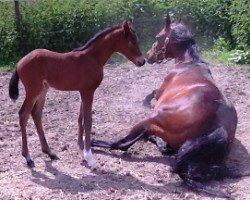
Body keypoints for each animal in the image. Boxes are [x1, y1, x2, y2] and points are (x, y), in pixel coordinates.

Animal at [8, 20, 146, 169]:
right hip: (33, 90)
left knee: (36, 114)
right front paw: (90, 158)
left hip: (43, 90)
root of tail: (19, 62)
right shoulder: (88, 91)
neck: (92, 58)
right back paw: (28, 158)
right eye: (133, 41)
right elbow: (88, 121)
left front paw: (81, 150)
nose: (142, 61)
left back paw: (50, 152)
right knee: (23, 115)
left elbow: (81, 119)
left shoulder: (83, 91)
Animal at [92, 16, 240, 197]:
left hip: (151, 119)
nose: (148, 56)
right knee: (158, 144)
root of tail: (219, 127)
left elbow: (153, 92)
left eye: (158, 37)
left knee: (122, 144)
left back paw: (92, 141)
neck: (188, 62)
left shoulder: (161, 92)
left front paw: (145, 102)